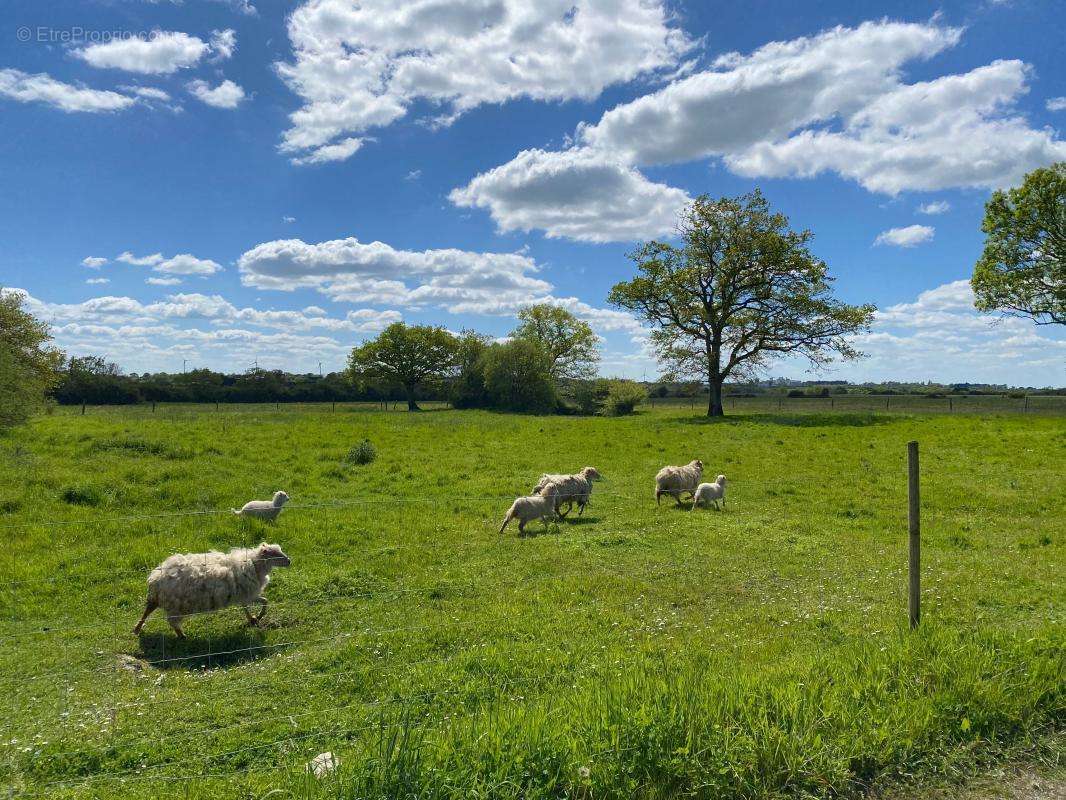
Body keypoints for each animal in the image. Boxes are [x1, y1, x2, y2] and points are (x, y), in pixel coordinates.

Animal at [132, 541, 292, 644]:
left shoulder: (245, 594)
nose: (289, 561)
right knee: (171, 621)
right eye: (275, 553)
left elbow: (255, 604)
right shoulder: (247, 593)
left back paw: (137, 629)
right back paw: (182, 636)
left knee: (147, 611)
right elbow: (263, 602)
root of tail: (155, 578)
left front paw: (253, 618)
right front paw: (256, 617)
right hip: (176, 605)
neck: (254, 563)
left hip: (158, 599)